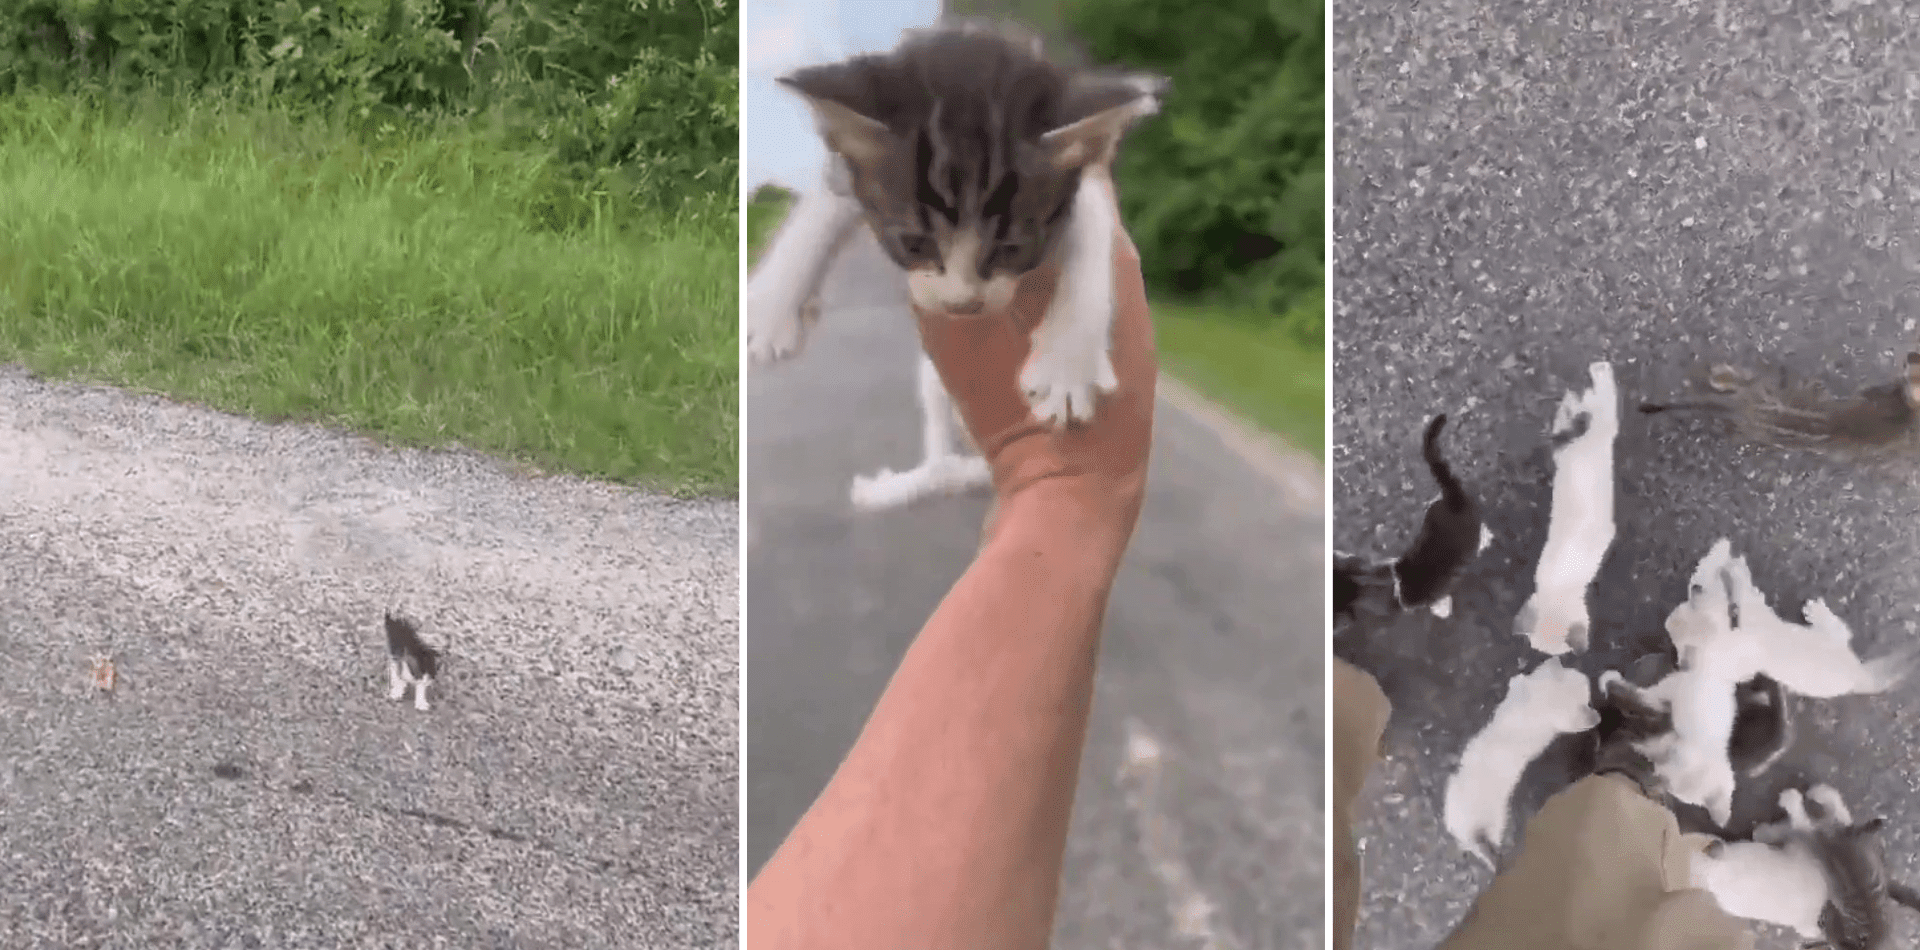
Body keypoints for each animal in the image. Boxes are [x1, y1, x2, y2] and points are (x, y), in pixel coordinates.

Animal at [1390, 416, 1489, 617]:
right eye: (1399, 594)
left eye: (1406, 600)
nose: (1403, 606)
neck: (1421, 568)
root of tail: (1454, 500)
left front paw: (1441, 607)